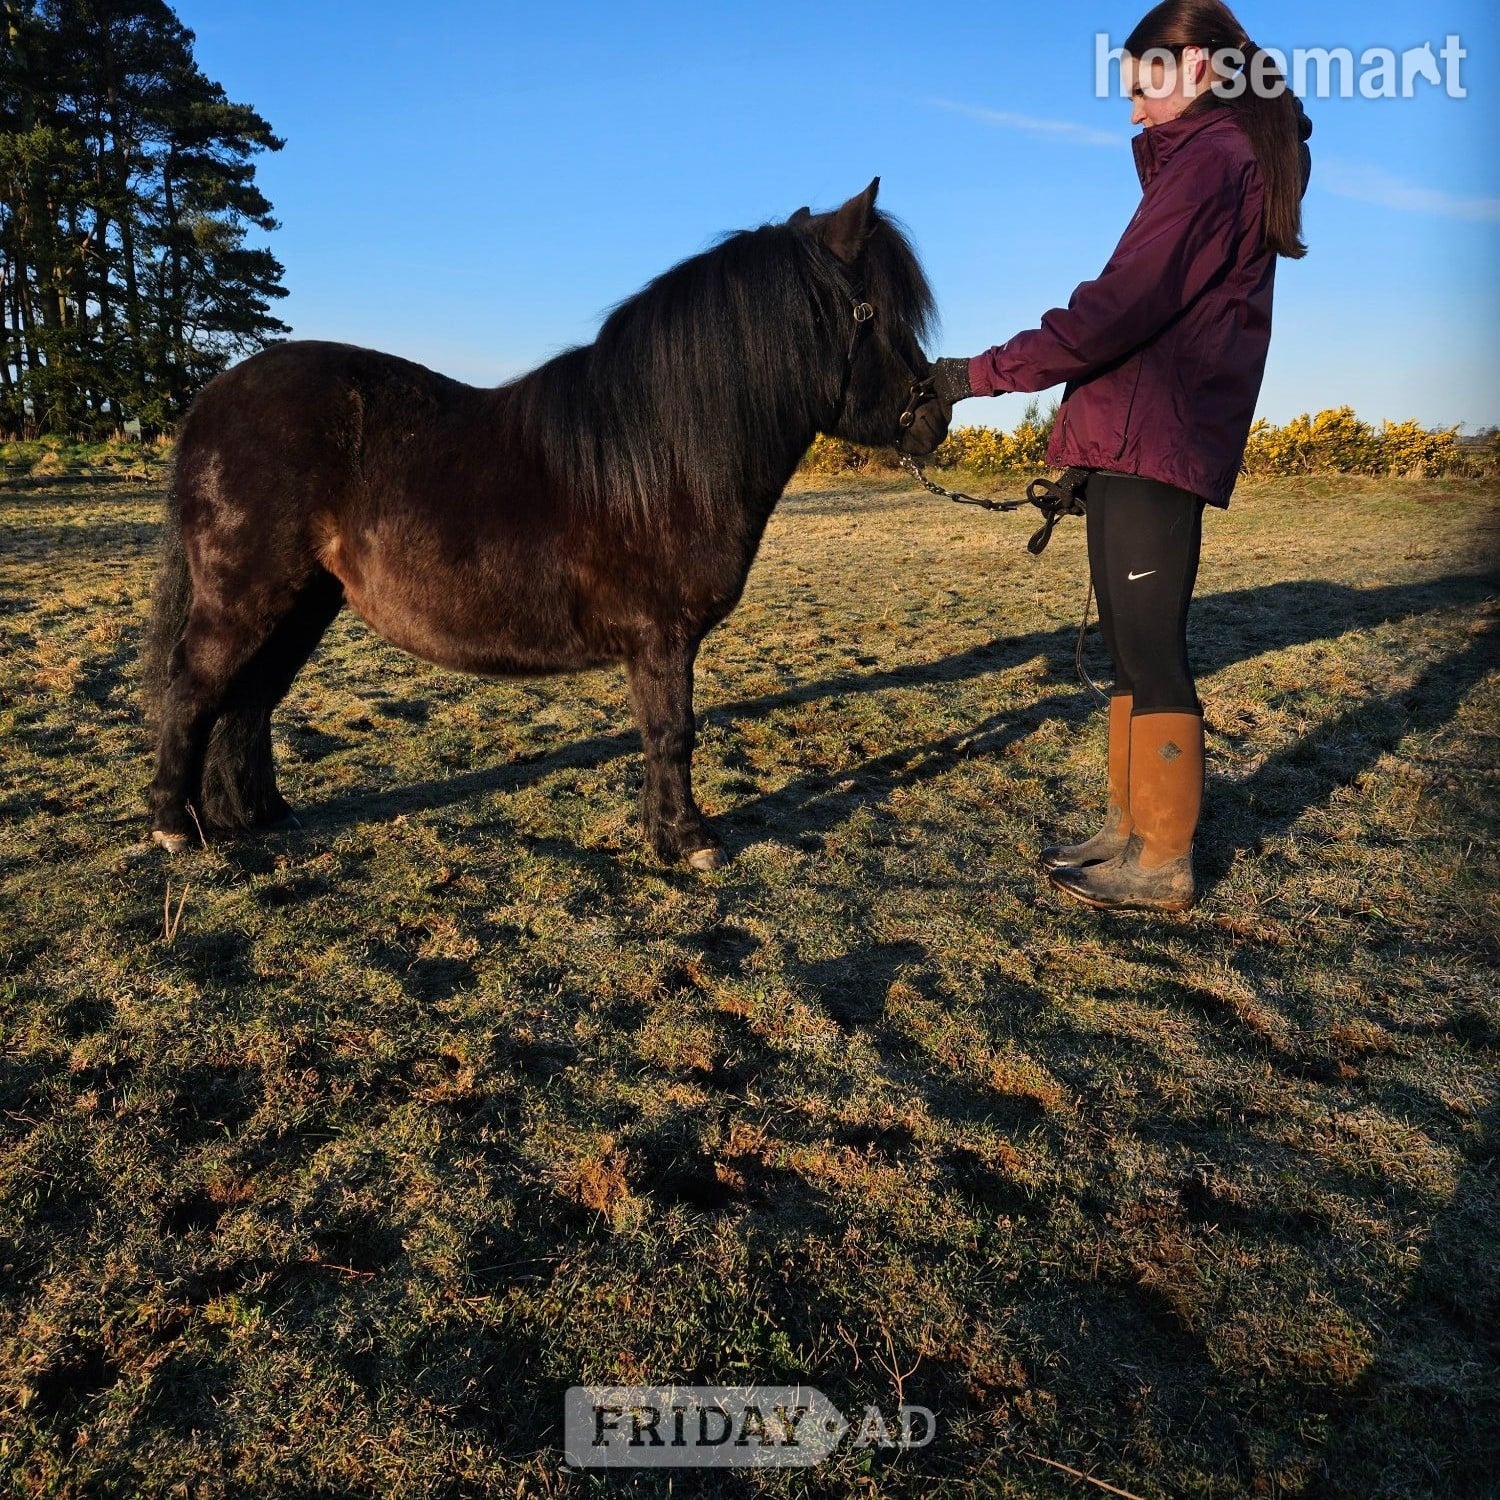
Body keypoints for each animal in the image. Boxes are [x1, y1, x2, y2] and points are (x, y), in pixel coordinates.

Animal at [142, 178, 947, 871]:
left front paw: (663, 832)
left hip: (303, 603)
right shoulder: (662, 638)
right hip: (246, 599)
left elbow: (660, 734)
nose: (935, 417)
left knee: (249, 700)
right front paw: (689, 840)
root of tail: (210, 401)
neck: (665, 459)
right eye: (877, 314)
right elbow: (673, 731)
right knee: (194, 690)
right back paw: (175, 827)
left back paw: (260, 816)